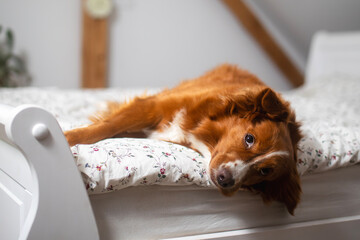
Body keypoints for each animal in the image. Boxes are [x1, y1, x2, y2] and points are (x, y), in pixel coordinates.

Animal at [64, 64, 300, 216]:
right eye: (249, 139)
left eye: (265, 171)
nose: (226, 179)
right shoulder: (151, 106)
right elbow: (105, 127)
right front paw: (68, 137)